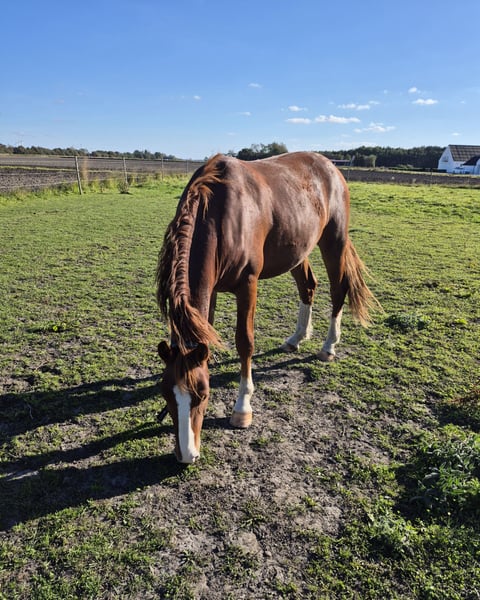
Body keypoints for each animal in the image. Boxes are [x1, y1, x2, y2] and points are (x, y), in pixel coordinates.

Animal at [156, 151, 376, 463]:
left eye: (203, 394)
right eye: (166, 393)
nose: (187, 454)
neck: (221, 213)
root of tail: (330, 166)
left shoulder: (248, 284)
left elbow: (245, 342)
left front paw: (242, 408)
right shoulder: (211, 289)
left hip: (334, 242)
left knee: (338, 289)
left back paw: (328, 346)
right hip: (298, 251)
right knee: (308, 287)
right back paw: (296, 338)